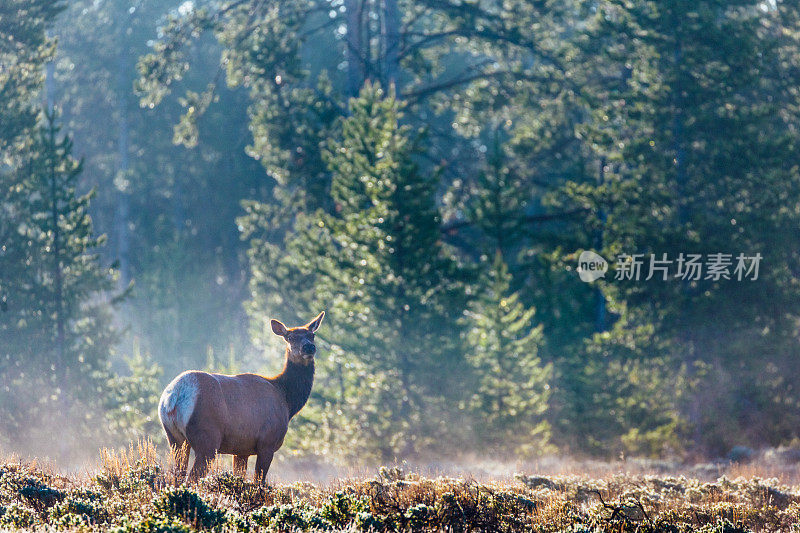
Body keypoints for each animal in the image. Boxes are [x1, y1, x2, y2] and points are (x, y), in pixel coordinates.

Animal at [158, 312, 324, 482]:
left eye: (312, 335)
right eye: (290, 337)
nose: (308, 347)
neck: (286, 399)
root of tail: (174, 397)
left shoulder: (241, 450)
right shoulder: (267, 442)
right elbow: (259, 482)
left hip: (174, 438)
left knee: (177, 474)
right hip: (207, 437)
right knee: (193, 477)